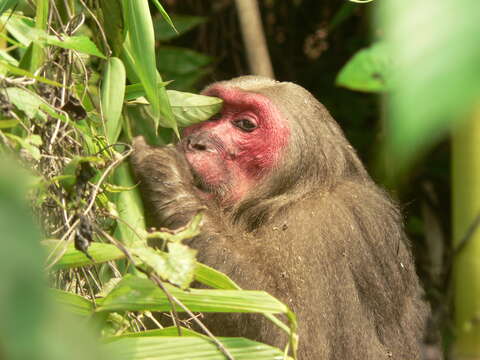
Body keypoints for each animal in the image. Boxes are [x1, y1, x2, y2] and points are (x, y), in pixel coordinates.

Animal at [130, 76, 428, 360]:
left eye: (245, 125)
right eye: (214, 115)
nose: (198, 142)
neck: (290, 192)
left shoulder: (323, 222)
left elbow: (292, 337)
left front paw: (169, 179)